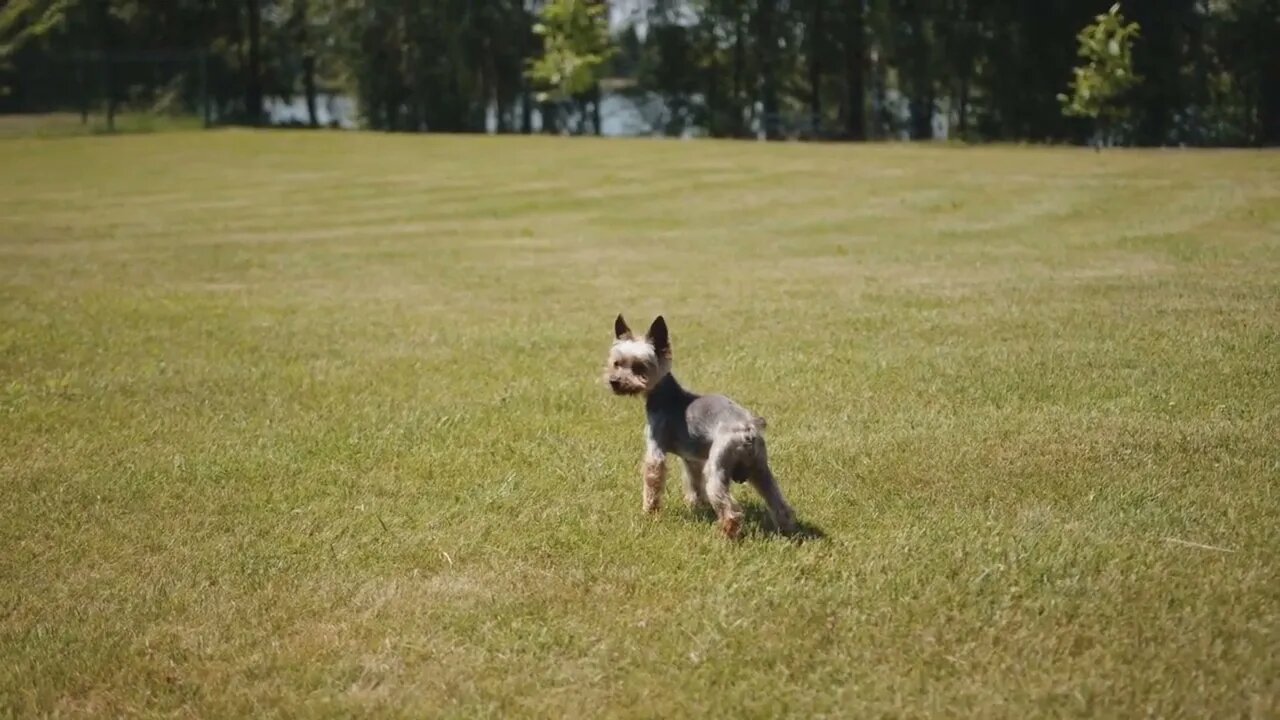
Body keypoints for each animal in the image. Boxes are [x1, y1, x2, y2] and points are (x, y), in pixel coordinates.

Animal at [604, 313, 793, 538]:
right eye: (616, 363)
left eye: (639, 367)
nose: (614, 381)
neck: (664, 394)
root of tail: (747, 429)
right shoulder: (691, 459)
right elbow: (694, 483)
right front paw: (696, 506)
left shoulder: (655, 447)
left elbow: (653, 480)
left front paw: (649, 513)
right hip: (760, 467)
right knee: (778, 502)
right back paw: (786, 530)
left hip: (718, 464)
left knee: (729, 508)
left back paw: (725, 533)